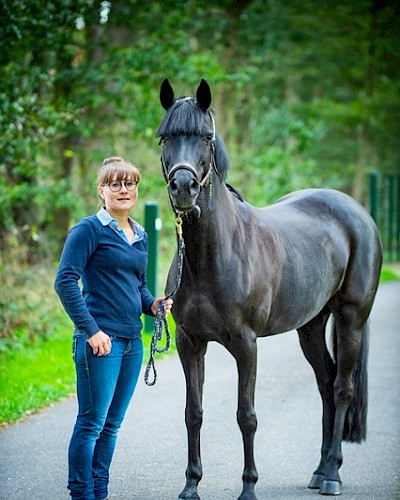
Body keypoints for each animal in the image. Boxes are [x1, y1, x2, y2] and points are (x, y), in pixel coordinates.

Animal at [155, 78, 382, 500]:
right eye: (165, 137)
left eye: (206, 137)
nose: (183, 187)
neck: (212, 256)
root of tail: (357, 212)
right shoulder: (189, 342)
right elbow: (193, 413)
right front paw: (191, 485)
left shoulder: (247, 344)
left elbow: (246, 416)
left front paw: (249, 488)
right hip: (310, 327)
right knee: (325, 386)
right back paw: (320, 469)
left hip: (351, 320)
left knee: (342, 389)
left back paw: (332, 475)